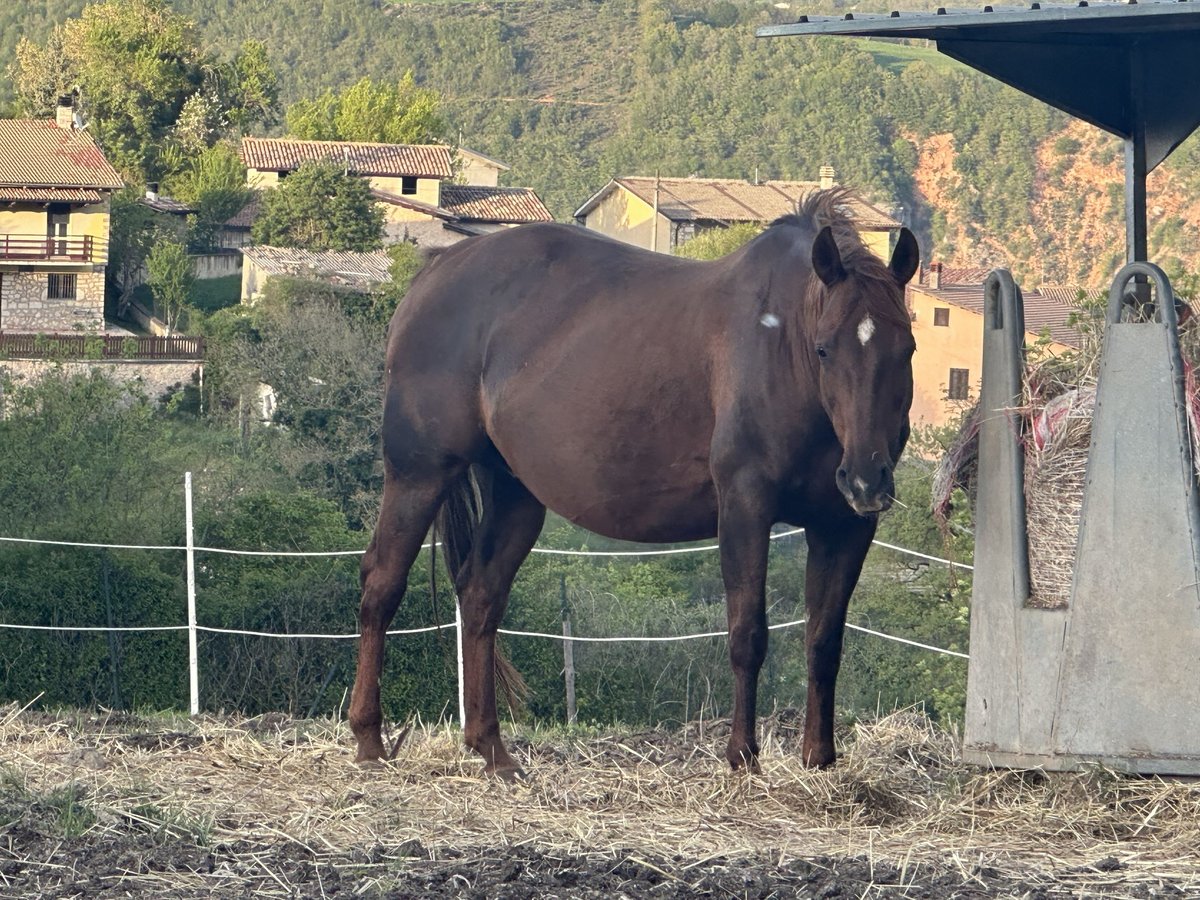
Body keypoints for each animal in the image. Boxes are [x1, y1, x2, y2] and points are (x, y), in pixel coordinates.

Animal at [350, 188, 916, 777]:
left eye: (907, 349)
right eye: (825, 348)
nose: (866, 477)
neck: (782, 347)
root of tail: (433, 274)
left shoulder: (844, 527)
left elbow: (824, 642)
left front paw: (820, 759)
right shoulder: (745, 508)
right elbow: (747, 634)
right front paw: (742, 756)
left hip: (515, 494)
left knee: (480, 596)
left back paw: (492, 750)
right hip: (419, 474)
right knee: (383, 582)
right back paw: (369, 739)